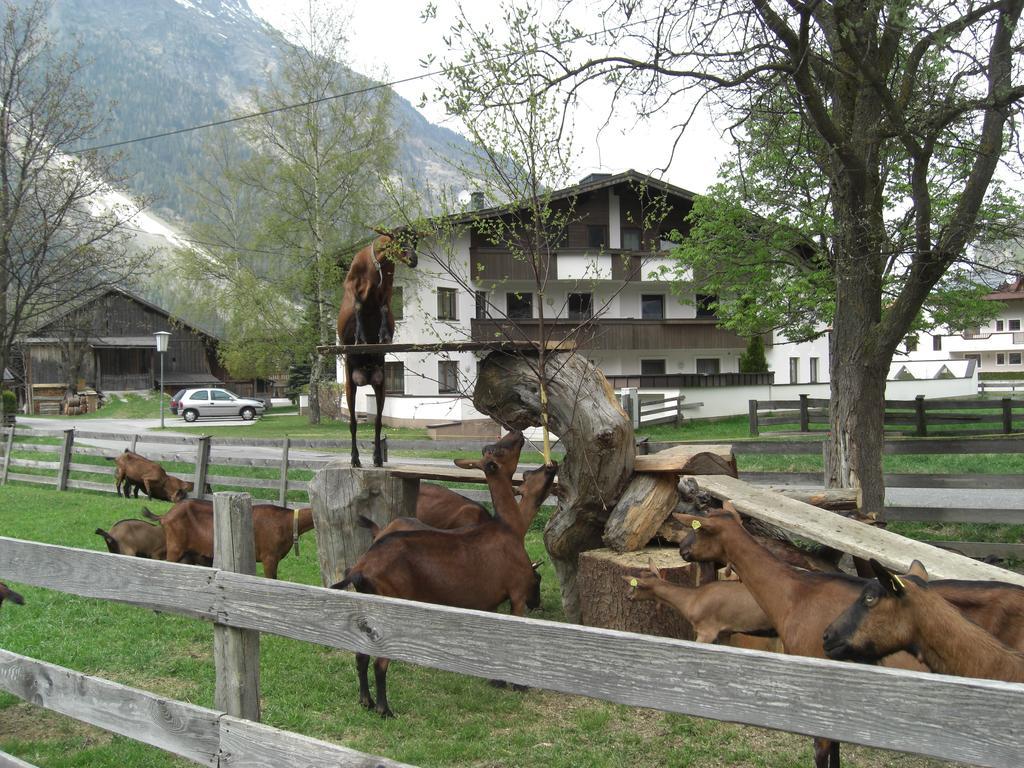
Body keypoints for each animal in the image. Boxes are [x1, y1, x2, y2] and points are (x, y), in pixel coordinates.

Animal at [331, 456, 557, 720]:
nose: (551, 465)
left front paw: (495, 679)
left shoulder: (489, 603)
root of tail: (361, 568)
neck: (509, 529)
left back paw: (365, 701)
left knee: (360, 655)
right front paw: (519, 684)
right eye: (537, 580)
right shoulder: (516, 595)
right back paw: (384, 709)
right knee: (379, 663)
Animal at [335, 230, 415, 468]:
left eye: (414, 240)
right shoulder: (351, 284)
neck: (375, 266)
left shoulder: (387, 290)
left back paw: (378, 457)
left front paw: (383, 335)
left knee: (378, 421)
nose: (413, 259)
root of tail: (367, 373)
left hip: (381, 384)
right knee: (352, 422)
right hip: (350, 384)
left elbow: (384, 307)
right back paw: (355, 459)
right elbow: (359, 305)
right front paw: (361, 337)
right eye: (399, 240)